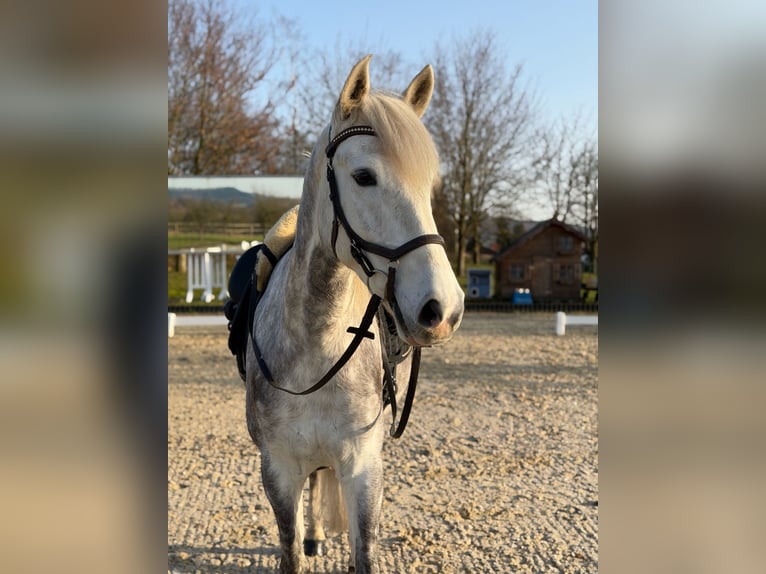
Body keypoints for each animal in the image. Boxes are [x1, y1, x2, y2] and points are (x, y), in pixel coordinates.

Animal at [244, 55, 464, 574]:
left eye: (429, 186)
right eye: (364, 176)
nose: (443, 308)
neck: (316, 347)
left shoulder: (363, 469)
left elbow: (363, 554)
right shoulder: (277, 471)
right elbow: (289, 550)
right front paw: (305, 541)